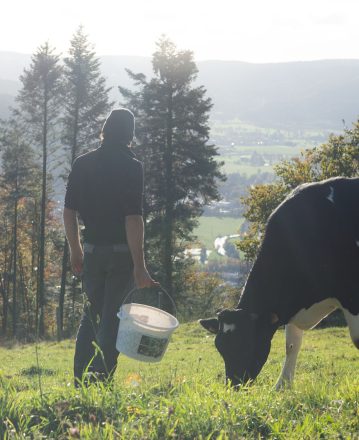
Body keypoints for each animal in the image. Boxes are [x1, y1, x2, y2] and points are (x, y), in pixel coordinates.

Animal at [201, 175, 358, 388]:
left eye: (247, 343)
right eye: (220, 347)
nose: (234, 385)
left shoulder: (352, 296)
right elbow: (291, 345)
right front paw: (282, 386)